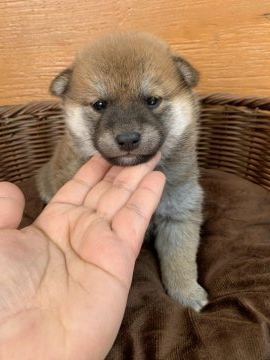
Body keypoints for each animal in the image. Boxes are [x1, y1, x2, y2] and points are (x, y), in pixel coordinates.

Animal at [36, 32, 209, 310]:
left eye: (152, 101)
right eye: (100, 104)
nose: (128, 139)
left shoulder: (179, 214)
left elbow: (180, 260)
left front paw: (186, 293)